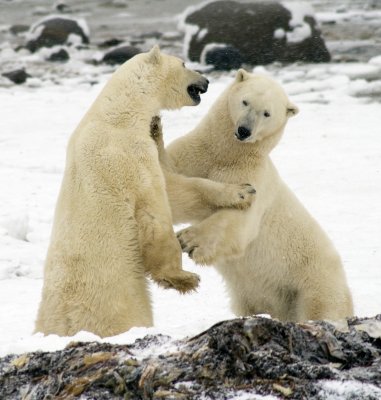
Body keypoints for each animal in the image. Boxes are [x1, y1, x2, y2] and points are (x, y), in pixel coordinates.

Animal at [35, 48, 255, 340]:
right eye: (183, 64)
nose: (206, 80)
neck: (118, 114)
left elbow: (175, 191)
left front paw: (243, 191)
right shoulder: (129, 156)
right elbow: (158, 206)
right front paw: (184, 278)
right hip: (118, 305)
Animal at [169, 70, 354, 322]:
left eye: (267, 113)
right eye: (245, 101)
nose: (244, 130)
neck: (226, 155)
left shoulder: (253, 176)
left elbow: (240, 222)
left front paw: (189, 240)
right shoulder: (191, 154)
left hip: (314, 282)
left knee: (320, 307)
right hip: (253, 296)